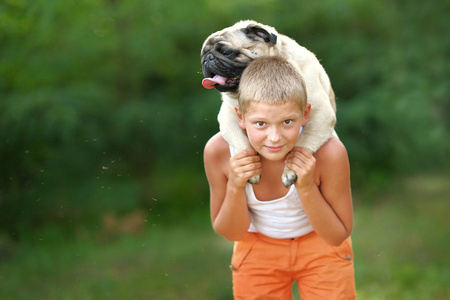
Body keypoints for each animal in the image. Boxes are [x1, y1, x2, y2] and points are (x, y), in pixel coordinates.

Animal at [202, 19, 336, 186]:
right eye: (202, 54)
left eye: (226, 52)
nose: (207, 59)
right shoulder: (227, 115)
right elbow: (241, 142)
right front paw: (249, 167)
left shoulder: (321, 112)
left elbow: (301, 146)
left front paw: (291, 170)